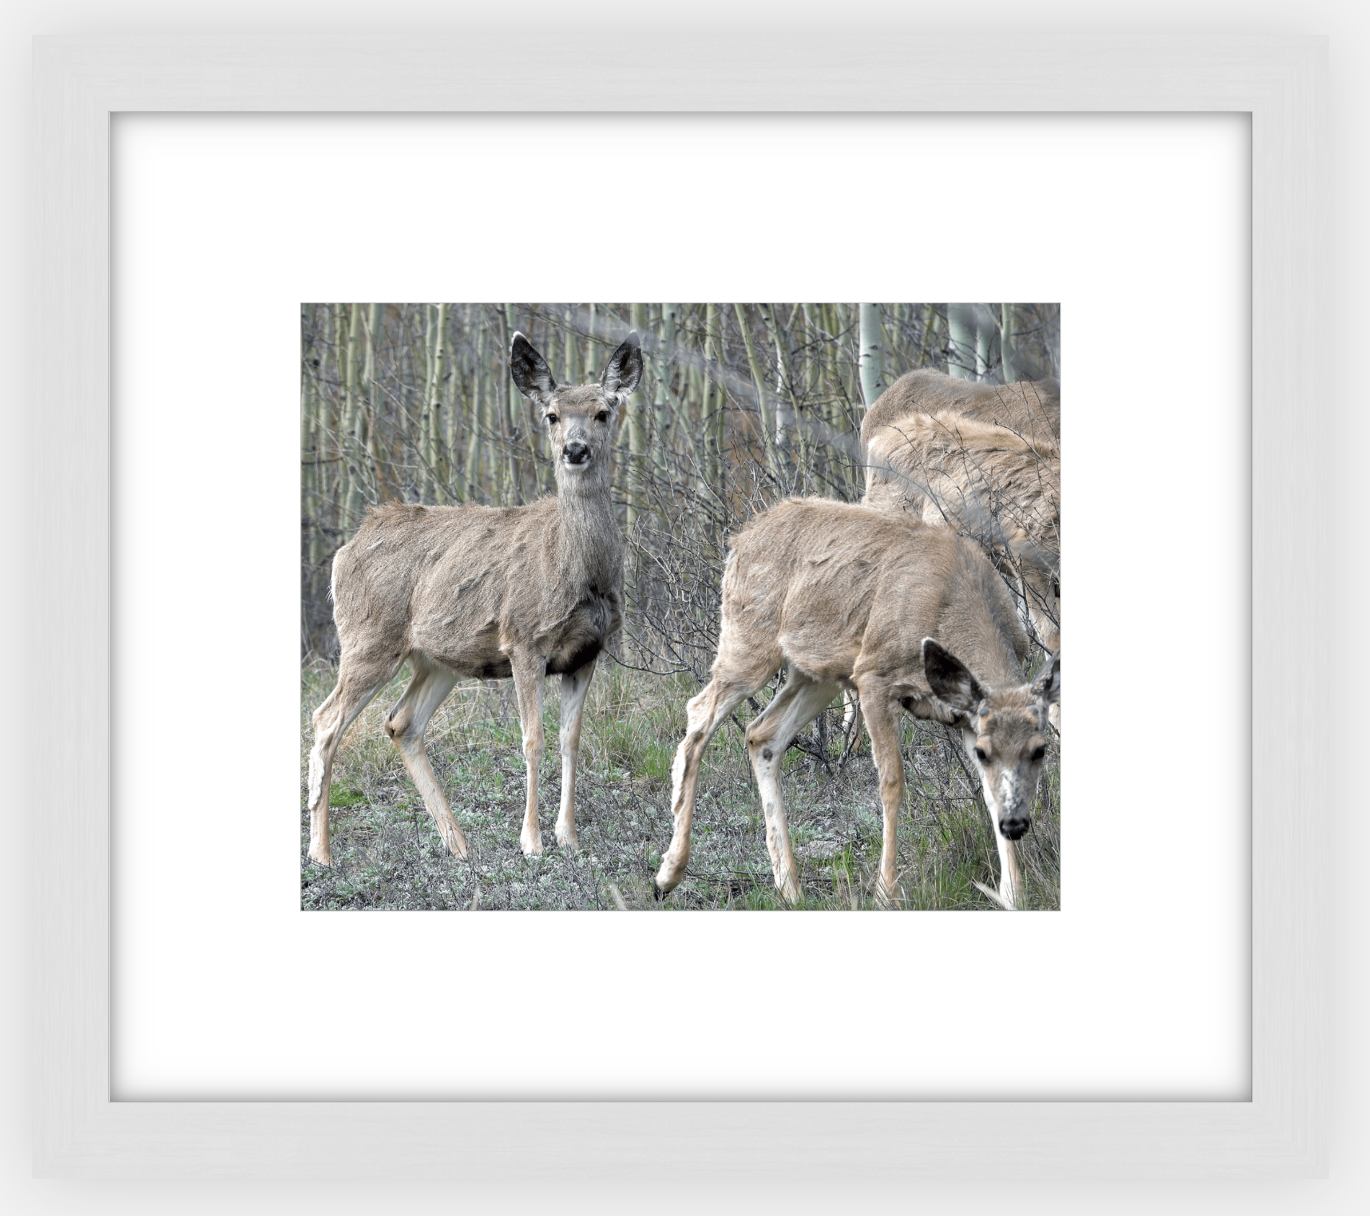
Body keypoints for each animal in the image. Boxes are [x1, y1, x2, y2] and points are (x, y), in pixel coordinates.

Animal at [305, 327, 641, 870]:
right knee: (325, 719)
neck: (578, 571)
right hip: (368, 638)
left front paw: (568, 836)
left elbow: (571, 739)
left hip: (436, 658)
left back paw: (458, 844)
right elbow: (533, 740)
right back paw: (321, 852)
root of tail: (345, 550)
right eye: (551, 414)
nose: (574, 449)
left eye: (602, 412)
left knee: (401, 723)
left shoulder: (589, 651)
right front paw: (532, 842)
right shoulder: (525, 639)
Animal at [654, 495, 1057, 909]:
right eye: (985, 752)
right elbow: (892, 782)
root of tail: (740, 538)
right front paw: (885, 892)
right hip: (749, 641)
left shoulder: (964, 715)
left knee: (761, 733)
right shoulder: (874, 675)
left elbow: (991, 794)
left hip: (817, 673)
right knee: (698, 715)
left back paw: (790, 887)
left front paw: (1013, 894)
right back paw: (668, 873)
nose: (1016, 825)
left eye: (1040, 749)